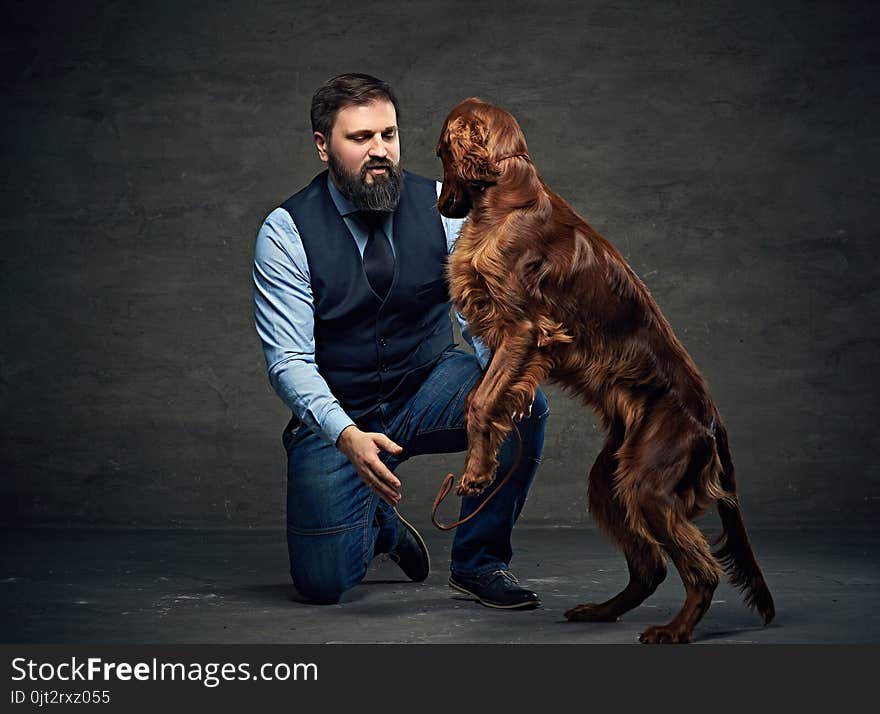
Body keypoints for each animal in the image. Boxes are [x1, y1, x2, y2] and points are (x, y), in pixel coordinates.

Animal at [436, 97, 772, 644]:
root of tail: (712, 419)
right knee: (650, 567)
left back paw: (673, 630)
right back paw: (600, 610)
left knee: (701, 570)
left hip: (649, 483)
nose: (443, 206)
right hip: (610, 477)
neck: (507, 194)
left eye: (441, 151)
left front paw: (477, 472)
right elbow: (482, 396)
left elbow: (481, 401)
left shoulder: (524, 327)